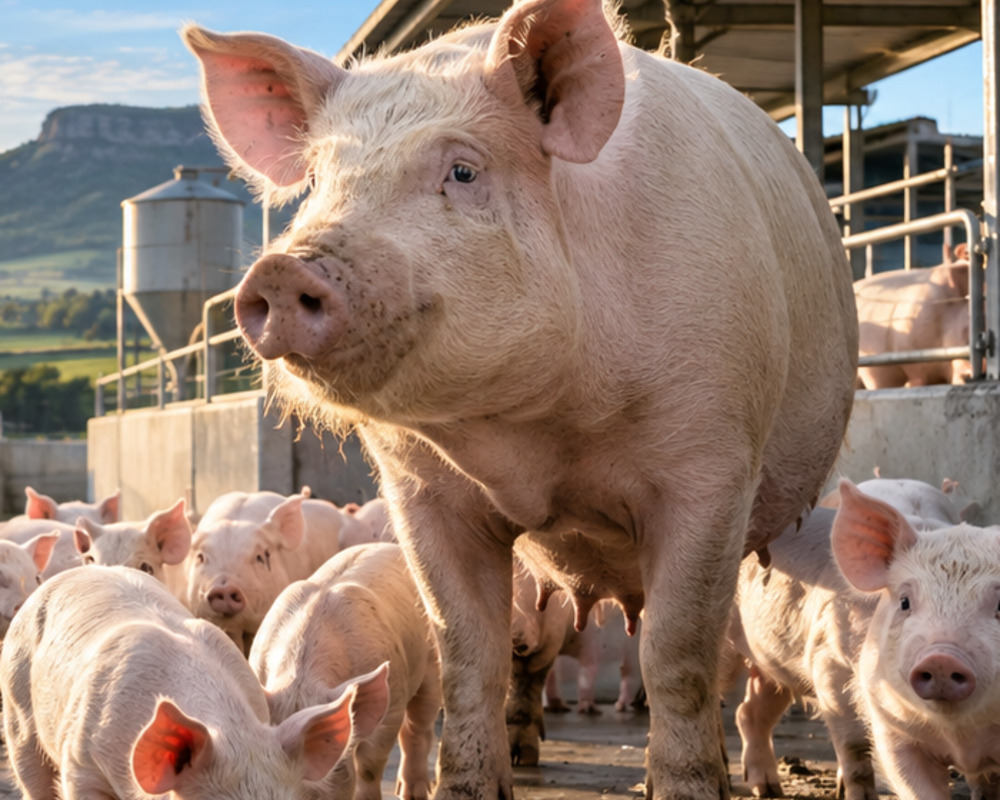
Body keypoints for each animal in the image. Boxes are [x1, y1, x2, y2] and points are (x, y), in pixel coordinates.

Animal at [250, 542, 441, 800]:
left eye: (331, 753)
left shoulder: (393, 698)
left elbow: (369, 764)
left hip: (432, 660)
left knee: (418, 725)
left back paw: (413, 793)